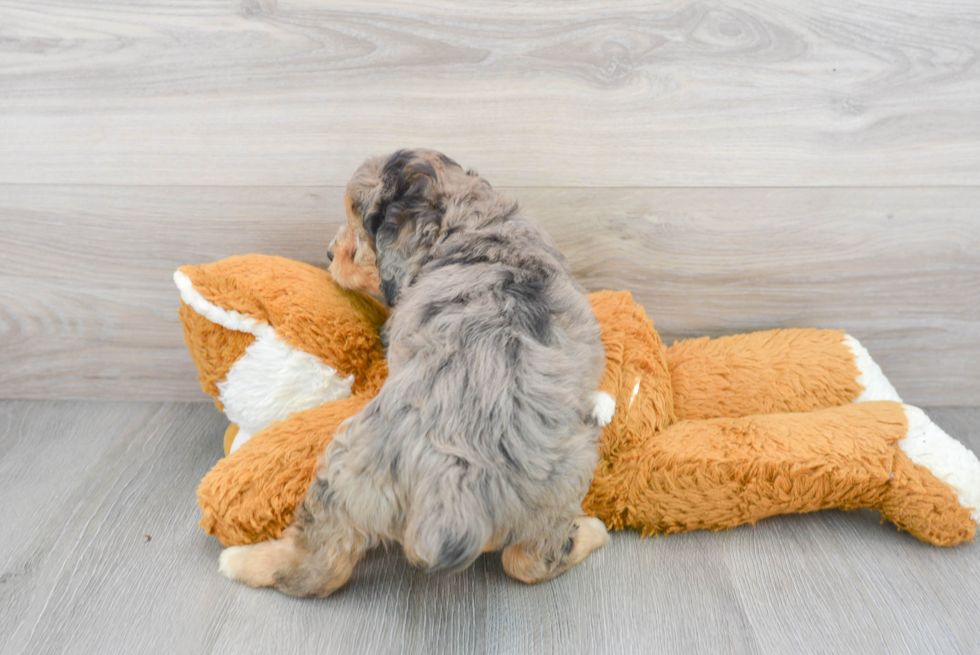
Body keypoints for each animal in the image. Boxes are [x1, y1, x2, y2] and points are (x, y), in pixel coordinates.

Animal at [218, 150, 608, 600]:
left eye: (359, 227)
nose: (330, 254)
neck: (470, 218)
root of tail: (453, 477)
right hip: (560, 480)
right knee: (528, 561)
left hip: (345, 471)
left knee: (318, 567)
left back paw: (243, 560)